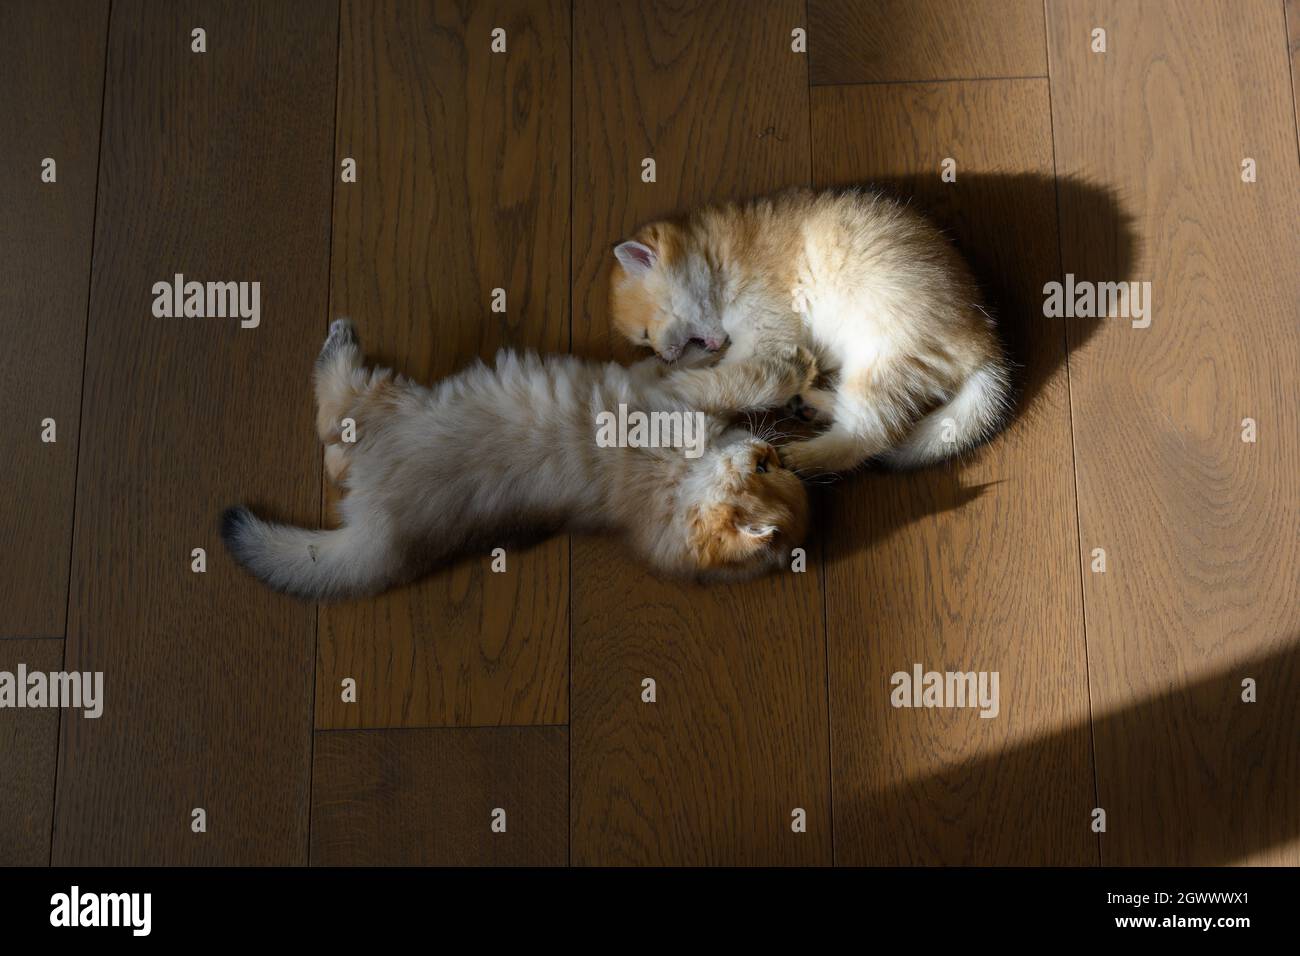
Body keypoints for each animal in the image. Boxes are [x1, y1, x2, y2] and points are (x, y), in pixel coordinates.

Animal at [223, 317, 811, 598]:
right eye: (769, 468)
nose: (768, 449)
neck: (678, 482)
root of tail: (381, 535)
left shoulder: (672, 396)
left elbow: (744, 381)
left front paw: (787, 369)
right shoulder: (659, 384)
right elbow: (709, 369)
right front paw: (722, 349)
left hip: (387, 404)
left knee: (334, 409)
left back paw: (342, 338)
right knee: (331, 444)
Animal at [608, 184, 1013, 473]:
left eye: (645, 335)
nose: (663, 354)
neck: (719, 257)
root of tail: (985, 343)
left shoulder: (765, 335)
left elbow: (729, 379)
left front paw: (667, 389)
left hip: (881, 360)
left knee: (866, 436)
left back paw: (801, 457)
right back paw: (811, 403)